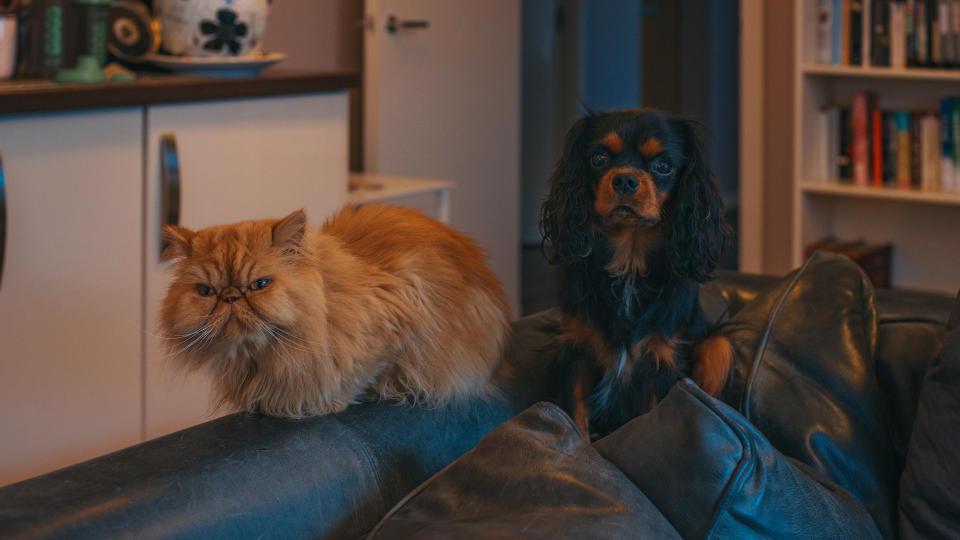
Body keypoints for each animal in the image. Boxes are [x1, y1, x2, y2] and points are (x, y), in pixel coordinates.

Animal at [158, 202, 510, 418]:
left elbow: (360, 375)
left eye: (259, 285)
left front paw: (328, 404)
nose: (230, 297)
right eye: (207, 292)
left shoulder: (400, 310)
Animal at [540, 108, 736, 438]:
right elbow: (574, 416)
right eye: (598, 159)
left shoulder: (661, 360)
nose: (625, 180)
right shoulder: (576, 349)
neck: (629, 263)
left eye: (664, 166)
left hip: (719, 347)